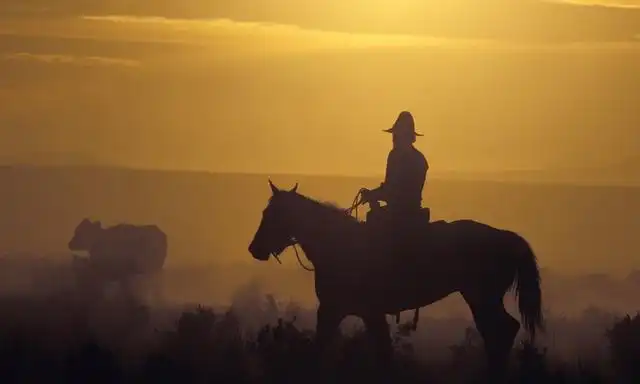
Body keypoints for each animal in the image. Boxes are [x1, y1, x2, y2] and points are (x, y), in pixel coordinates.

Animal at [248, 182, 544, 380]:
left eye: (272, 215)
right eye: (264, 213)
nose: (255, 249)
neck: (338, 244)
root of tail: (507, 237)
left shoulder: (340, 310)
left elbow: (328, 347)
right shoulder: (358, 313)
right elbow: (381, 352)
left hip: (481, 298)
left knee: (500, 330)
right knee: (499, 331)